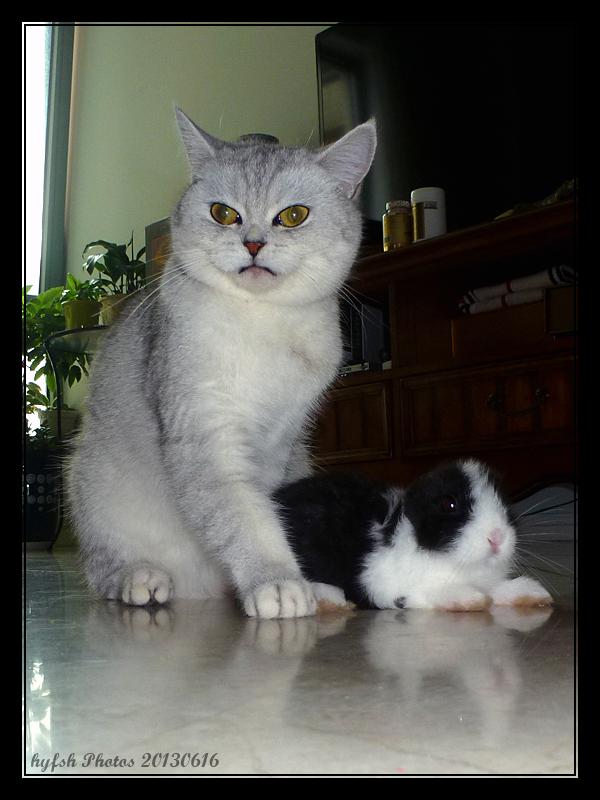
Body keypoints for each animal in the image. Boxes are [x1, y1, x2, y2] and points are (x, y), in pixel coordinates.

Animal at [66, 108, 377, 619]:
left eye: (293, 216)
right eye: (223, 213)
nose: (252, 244)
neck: (260, 322)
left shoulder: (278, 441)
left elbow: (261, 512)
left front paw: (287, 584)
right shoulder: (205, 432)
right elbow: (242, 517)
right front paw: (275, 582)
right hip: (92, 486)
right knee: (103, 570)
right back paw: (141, 579)